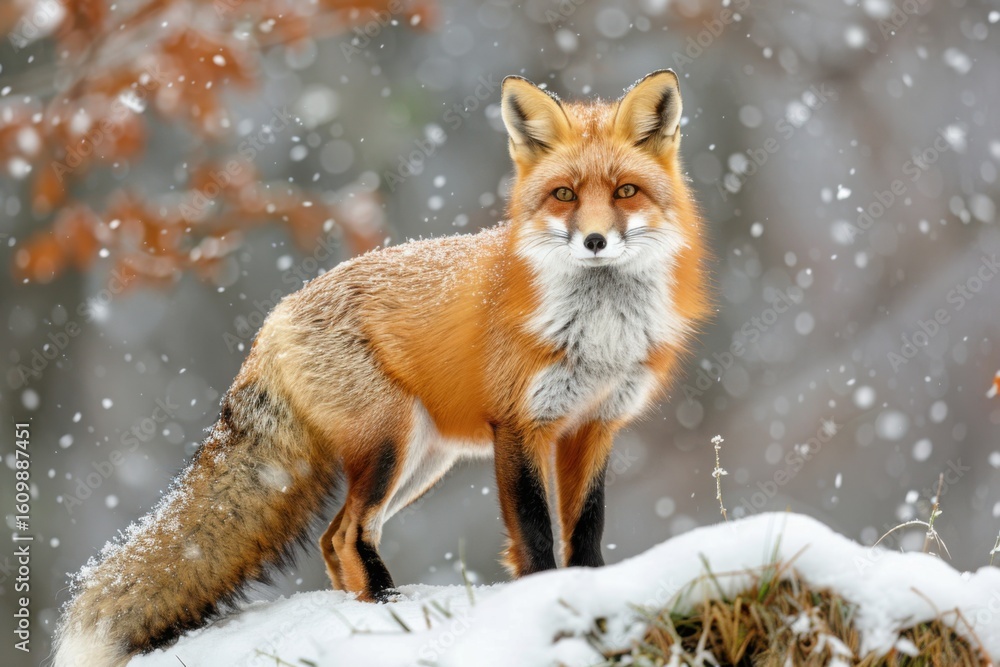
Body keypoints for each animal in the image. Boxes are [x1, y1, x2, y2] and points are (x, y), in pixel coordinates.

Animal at [54, 70, 711, 666]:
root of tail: (275, 318)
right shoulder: (520, 425)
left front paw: (593, 590)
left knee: (334, 538)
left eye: (626, 192)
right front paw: (541, 602)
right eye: (565, 196)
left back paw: (365, 610)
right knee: (348, 532)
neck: (598, 334)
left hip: (424, 460)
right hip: (392, 440)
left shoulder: (595, 426)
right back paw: (391, 610)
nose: (595, 241)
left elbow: (587, 532)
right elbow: (534, 535)